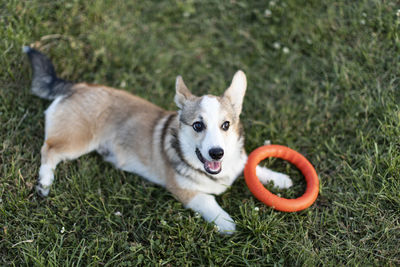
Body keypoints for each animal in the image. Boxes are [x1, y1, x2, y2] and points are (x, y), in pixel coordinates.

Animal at [22, 46, 290, 234]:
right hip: (78, 141)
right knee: (49, 149)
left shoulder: (237, 162)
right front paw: (227, 224)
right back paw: (45, 182)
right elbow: (208, 202)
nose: (217, 153)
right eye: (198, 125)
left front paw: (280, 179)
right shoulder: (185, 192)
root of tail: (76, 86)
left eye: (226, 125)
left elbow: (250, 165)